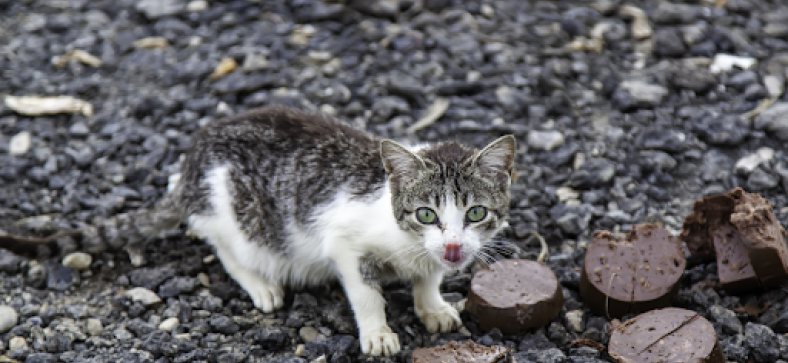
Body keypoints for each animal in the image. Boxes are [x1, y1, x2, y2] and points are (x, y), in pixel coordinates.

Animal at [1, 106, 516, 356]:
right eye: (426, 214)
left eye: (475, 214)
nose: (454, 246)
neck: (407, 242)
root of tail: (189, 169)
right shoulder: (344, 242)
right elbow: (365, 291)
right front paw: (378, 333)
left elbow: (427, 277)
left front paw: (433, 305)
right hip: (232, 214)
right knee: (223, 245)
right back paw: (262, 284)